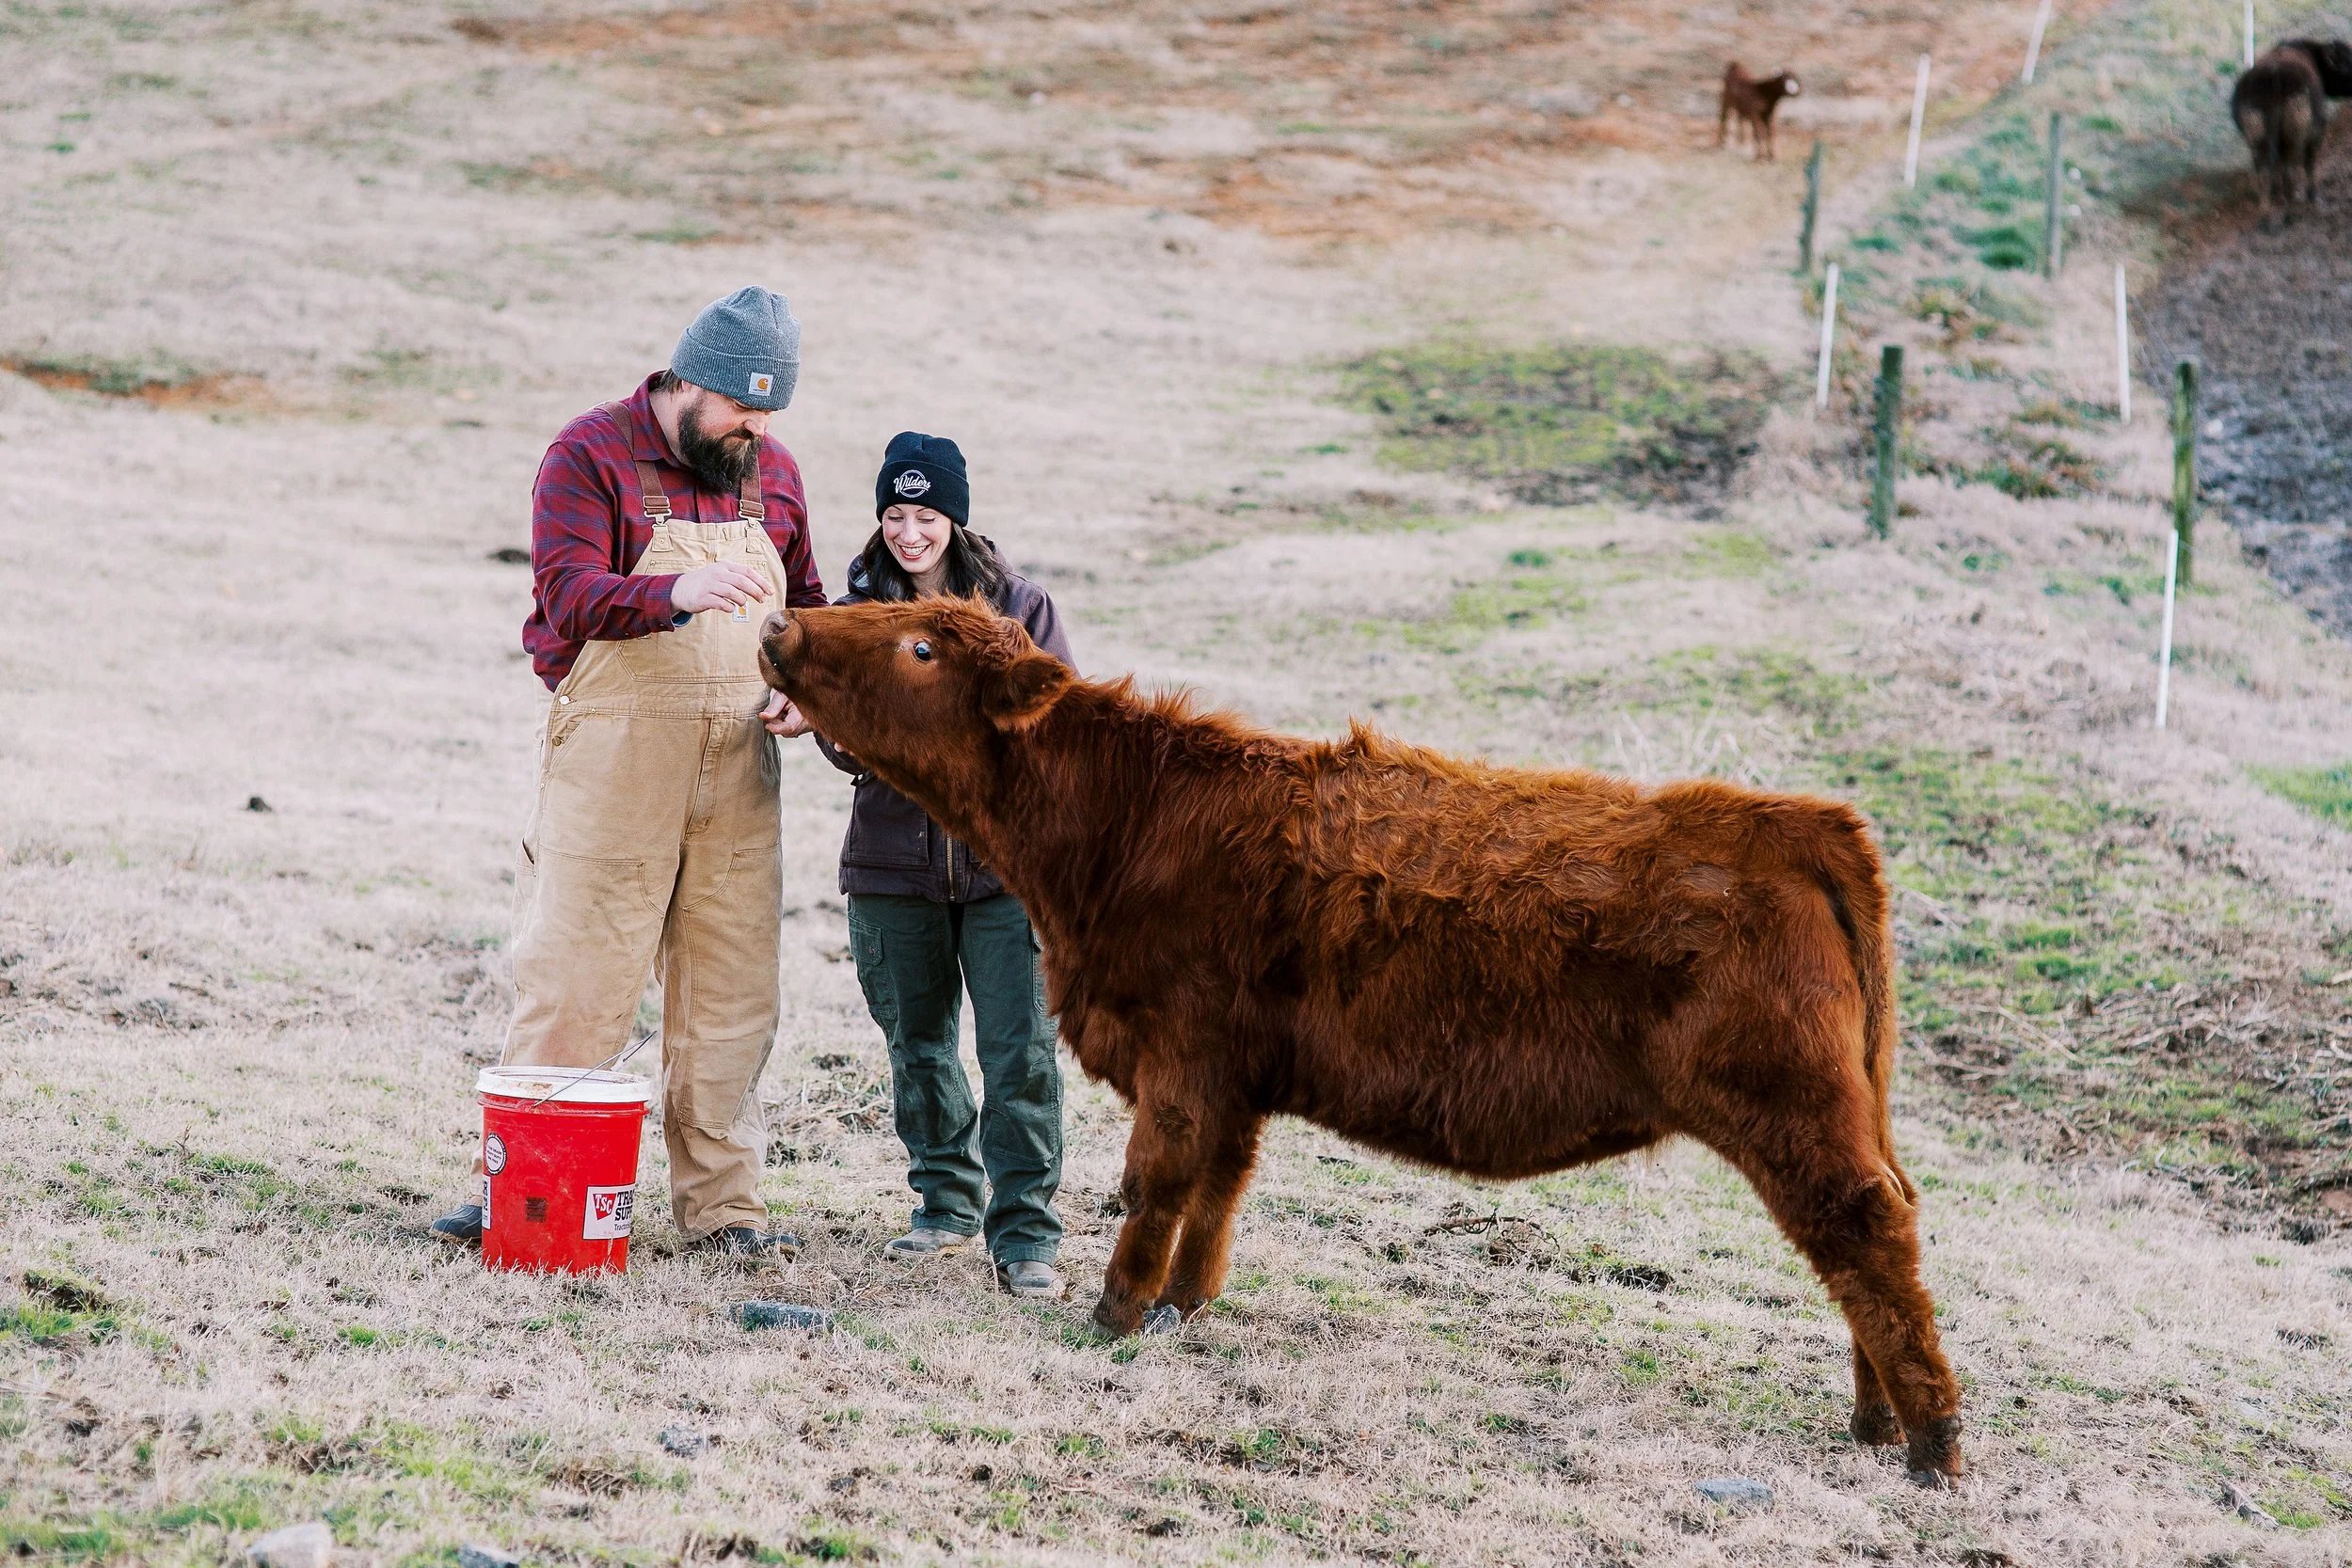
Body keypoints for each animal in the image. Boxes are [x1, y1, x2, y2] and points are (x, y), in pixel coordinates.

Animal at [759, 599, 1965, 1489]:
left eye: (920, 644)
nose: (780, 619)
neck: (1130, 819)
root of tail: (1793, 819)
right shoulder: (1235, 1077)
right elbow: (1218, 1191)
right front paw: (1182, 1307)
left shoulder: (1181, 1056)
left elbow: (1157, 1181)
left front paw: (1113, 1313)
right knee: (1864, 1242)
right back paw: (1873, 1421)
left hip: (1788, 1109)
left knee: (1866, 1230)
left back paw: (1931, 1442)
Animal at [2233, 38, 2352, 218]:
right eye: (2346, 63)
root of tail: (2273, 77)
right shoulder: (2315, 135)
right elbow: (2309, 164)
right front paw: (2313, 196)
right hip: (2294, 139)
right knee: (2291, 170)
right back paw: (2292, 208)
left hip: (2259, 142)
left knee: (2264, 172)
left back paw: (2266, 211)